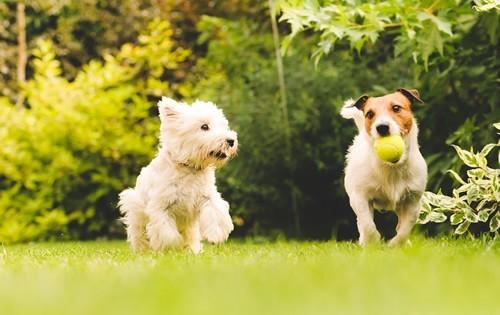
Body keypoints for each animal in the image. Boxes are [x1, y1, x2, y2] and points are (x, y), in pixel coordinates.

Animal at [120, 97, 239, 256]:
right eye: (204, 126)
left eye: (223, 125)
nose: (231, 140)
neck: (189, 168)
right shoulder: (161, 207)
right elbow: (168, 234)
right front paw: (172, 248)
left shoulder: (207, 196)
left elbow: (215, 211)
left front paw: (215, 235)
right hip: (135, 211)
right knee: (139, 236)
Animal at [342, 88, 428, 247]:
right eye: (370, 114)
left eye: (396, 108)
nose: (381, 127)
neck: (392, 166)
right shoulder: (360, 197)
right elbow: (367, 225)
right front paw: (373, 242)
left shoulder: (413, 201)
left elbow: (405, 228)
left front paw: (396, 244)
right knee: (362, 222)